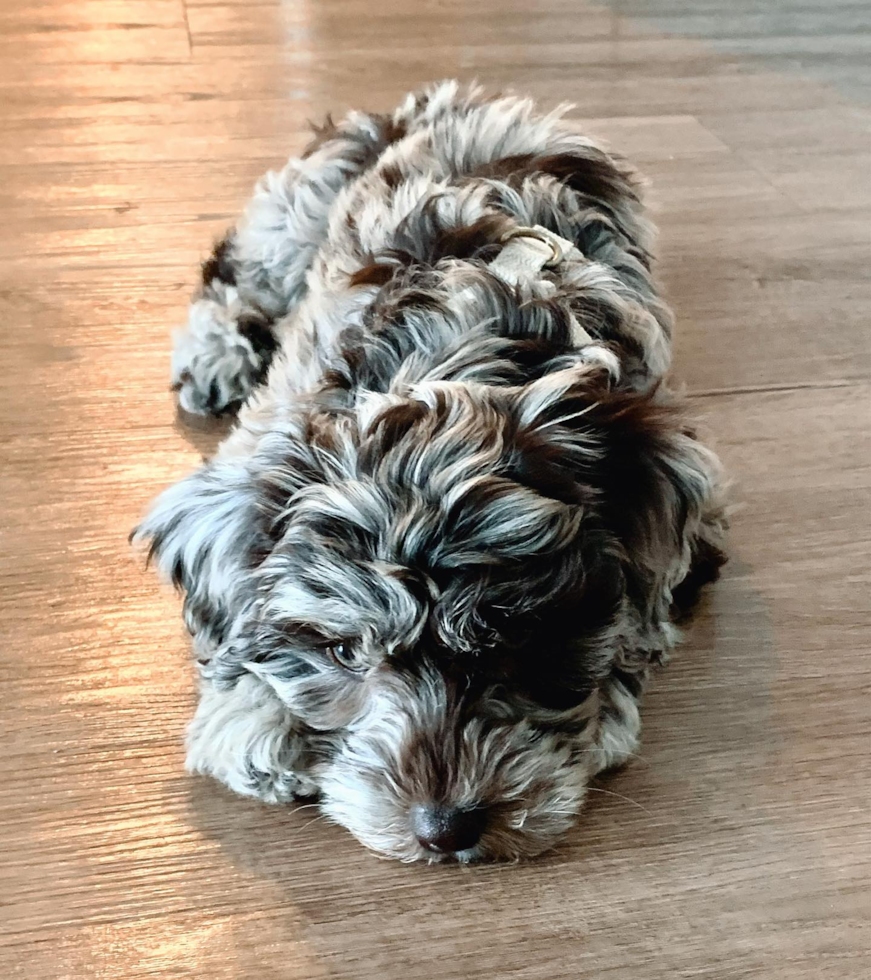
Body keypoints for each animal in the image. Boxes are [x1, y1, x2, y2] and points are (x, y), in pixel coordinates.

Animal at [133, 84, 724, 864]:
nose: (445, 828)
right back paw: (217, 351)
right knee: (234, 272)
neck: (456, 353)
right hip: (295, 213)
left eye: (517, 638)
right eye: (345, 651)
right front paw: (253, 716)